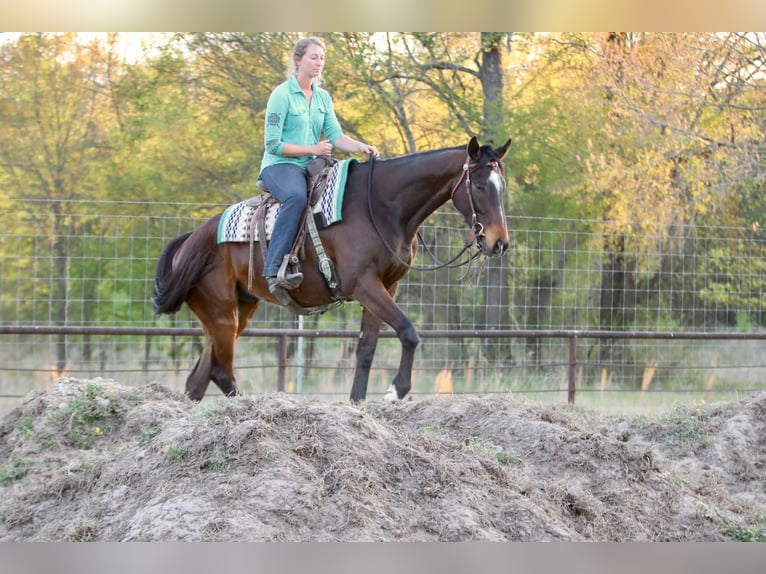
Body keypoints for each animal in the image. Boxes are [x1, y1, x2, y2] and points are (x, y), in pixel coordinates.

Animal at [152, 136, 512, 403]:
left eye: (502, 185)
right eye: (479, 186)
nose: (499, 242)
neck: (380, 207)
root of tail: (192, 240)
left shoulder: (386, 286)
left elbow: (366, 349)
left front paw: (358, 402)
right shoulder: (364, 285)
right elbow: (408, 331)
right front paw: (396, 391)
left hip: (237, 311)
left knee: (200, 378)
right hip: (222, 314)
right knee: (220, 372)